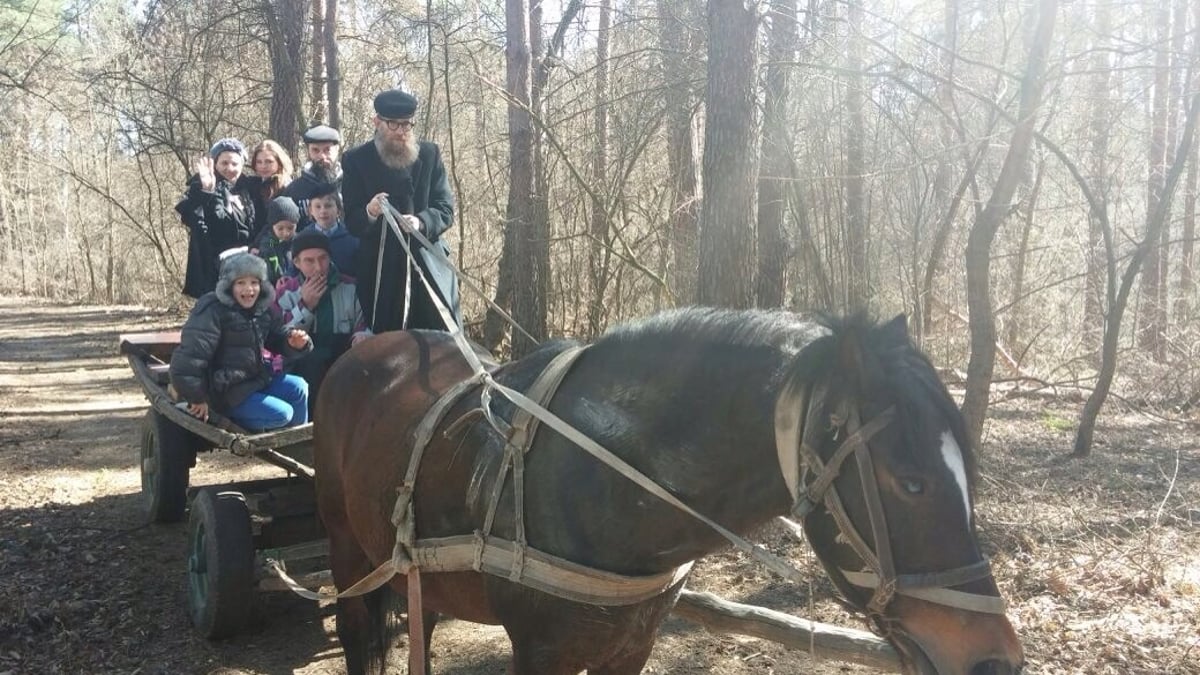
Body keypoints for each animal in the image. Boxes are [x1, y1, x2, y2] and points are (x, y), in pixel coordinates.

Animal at [314, 307, 1027, 667]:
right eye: (910, 482)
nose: (997, 659)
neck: (602, 479)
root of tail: (368, 348)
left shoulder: (632, 643)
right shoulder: (541, 651)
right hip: (346, 543)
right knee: (356, 632)